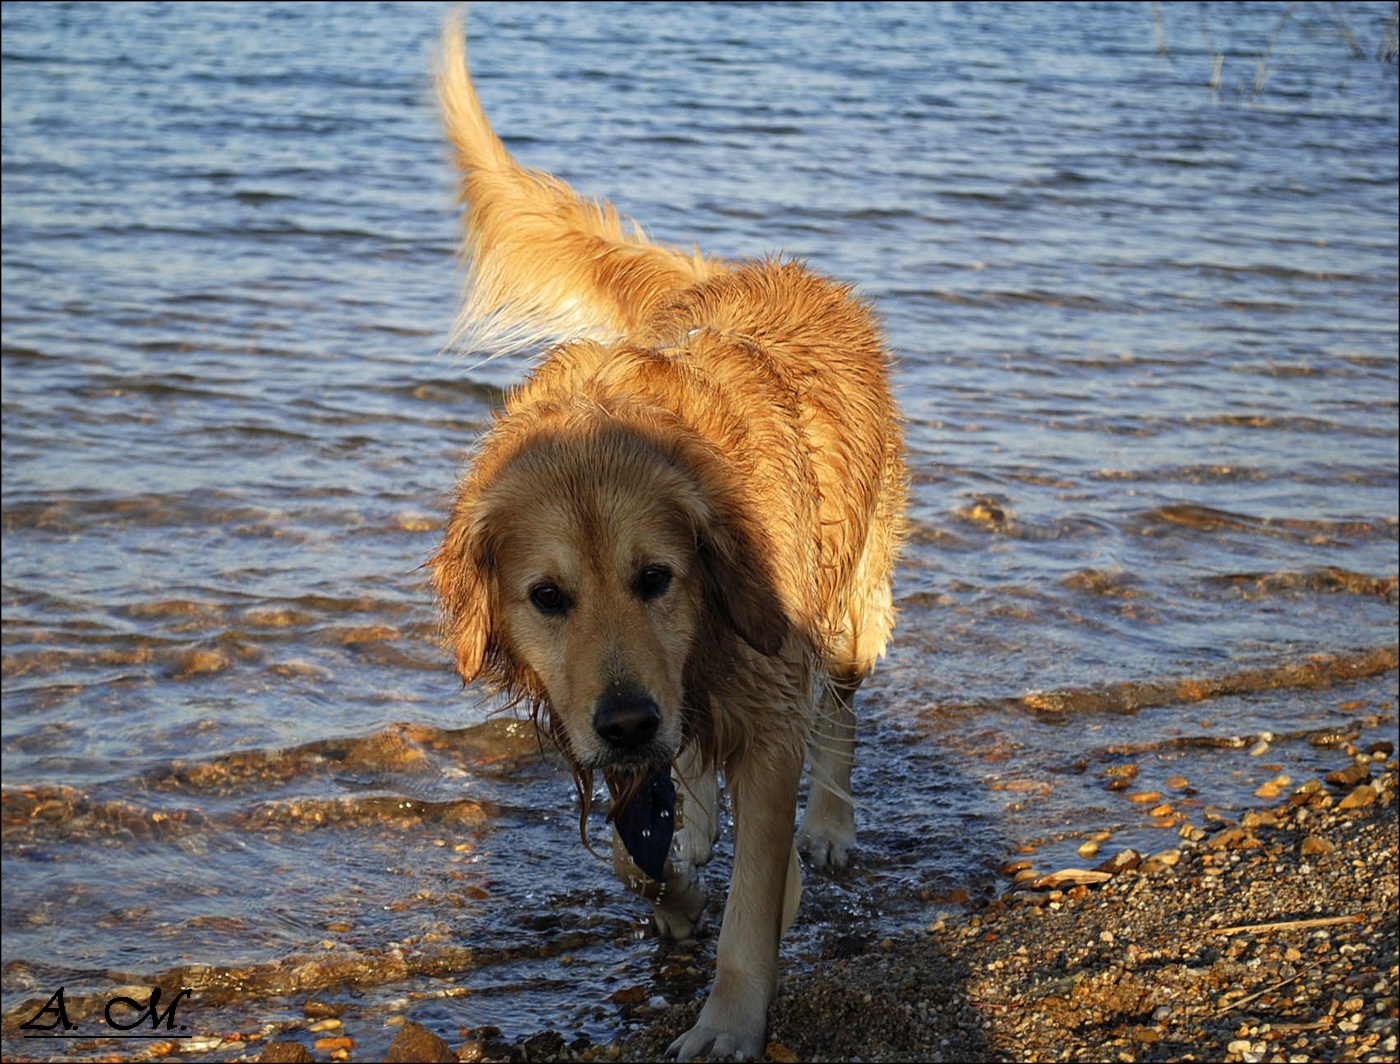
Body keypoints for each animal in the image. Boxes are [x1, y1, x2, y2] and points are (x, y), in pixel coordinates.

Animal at [428, 18, 907, 1064]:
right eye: (547, 597)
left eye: (658, 577)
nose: (625, 722)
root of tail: (758, 266)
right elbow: (635, 848)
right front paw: (674, 881)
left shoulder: (764, 701)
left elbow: (752, 902)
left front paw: (728, 1019)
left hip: (854, 610)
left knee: (840, 717)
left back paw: (830, 826)